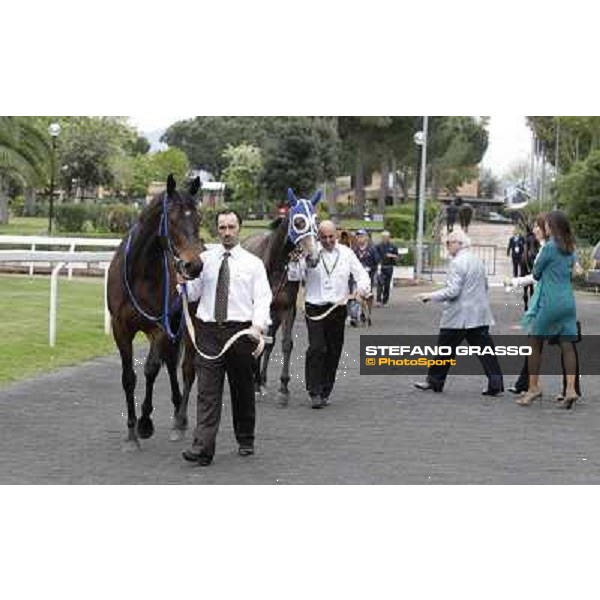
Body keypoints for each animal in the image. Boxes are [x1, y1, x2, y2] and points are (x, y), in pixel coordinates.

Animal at [106, 175, 203, 450]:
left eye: (198, 219)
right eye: (172, 220)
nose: (194, 265)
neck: (140, 273)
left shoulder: (159, 326)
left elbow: (150, 369)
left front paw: (145, 422)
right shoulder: (121, 327)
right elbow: (129, 377)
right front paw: (131, 433)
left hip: (188, 326)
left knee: (187, 369)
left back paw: (180, 420)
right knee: (171, 363)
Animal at [243, 188, 324, 404]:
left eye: (316, 221)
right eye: (299, 221)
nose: (313, 257)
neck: (274, 267)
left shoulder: (287, 308)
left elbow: (286, 344)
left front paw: (283, 388)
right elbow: (256, 341)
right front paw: (254, 384)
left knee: (269, 343)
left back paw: (262, 380)